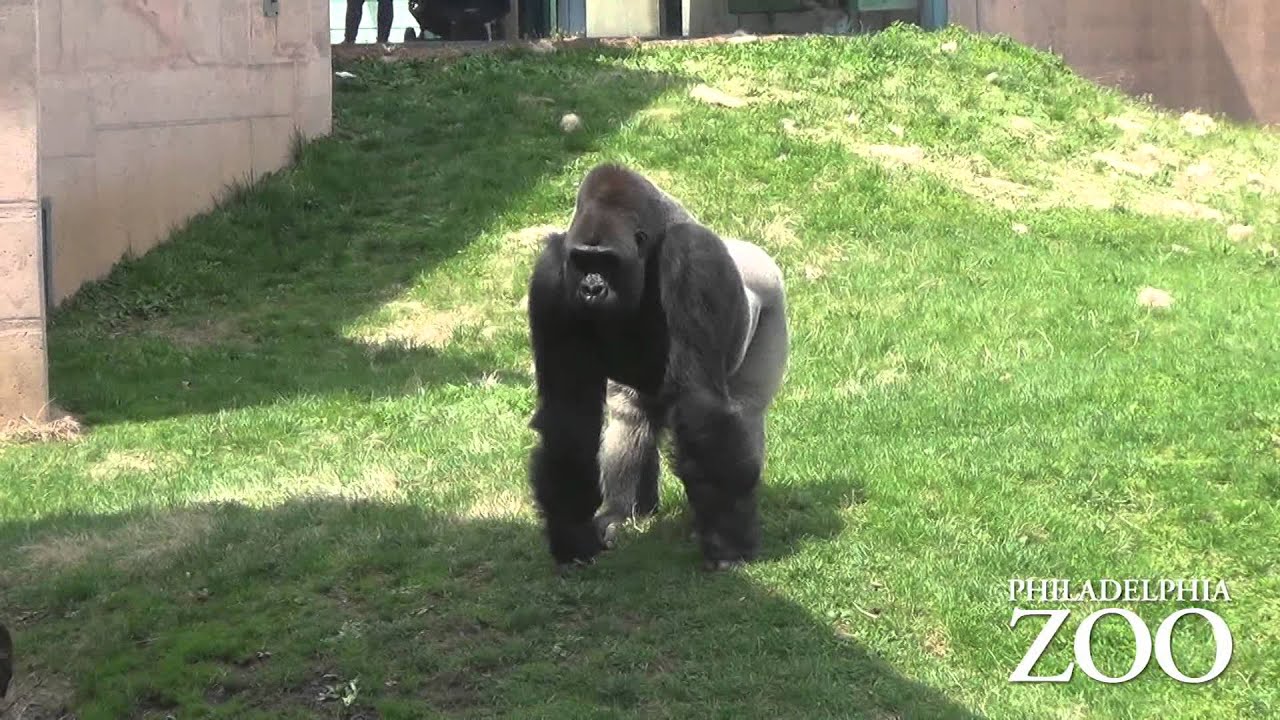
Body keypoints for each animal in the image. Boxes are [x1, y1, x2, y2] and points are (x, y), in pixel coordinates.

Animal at [525, 163, 788, 571]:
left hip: (770, 291)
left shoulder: (693, 258)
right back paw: (622, 511)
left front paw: (727, 542)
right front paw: (572, 534)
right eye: (583, 261)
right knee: (630, 413)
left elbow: (702, 402)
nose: (591, 289)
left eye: (607, 261)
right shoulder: (551, 275)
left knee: (745, 412)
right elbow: (568, 413)